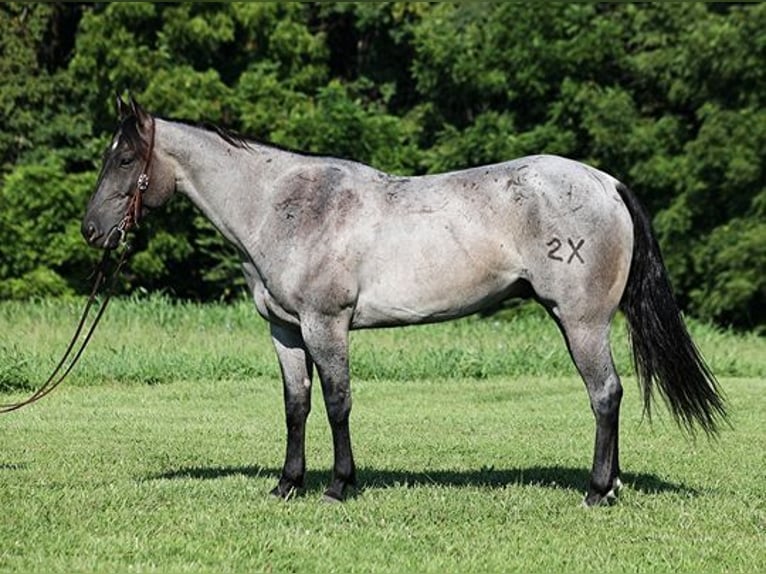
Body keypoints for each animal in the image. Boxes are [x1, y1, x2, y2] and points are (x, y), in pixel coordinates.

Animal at [82, 97, 728, 506]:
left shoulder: (325, 326)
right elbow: (296, 406)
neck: (283, 206)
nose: (92, 231)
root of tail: (605, 183)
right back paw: (610, 485)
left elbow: (337, 402)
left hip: (583, 322)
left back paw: (598, 491)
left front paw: (339, 486)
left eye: (123, 159)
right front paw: (287, 485)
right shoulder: (285, 331)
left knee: (606, 394)